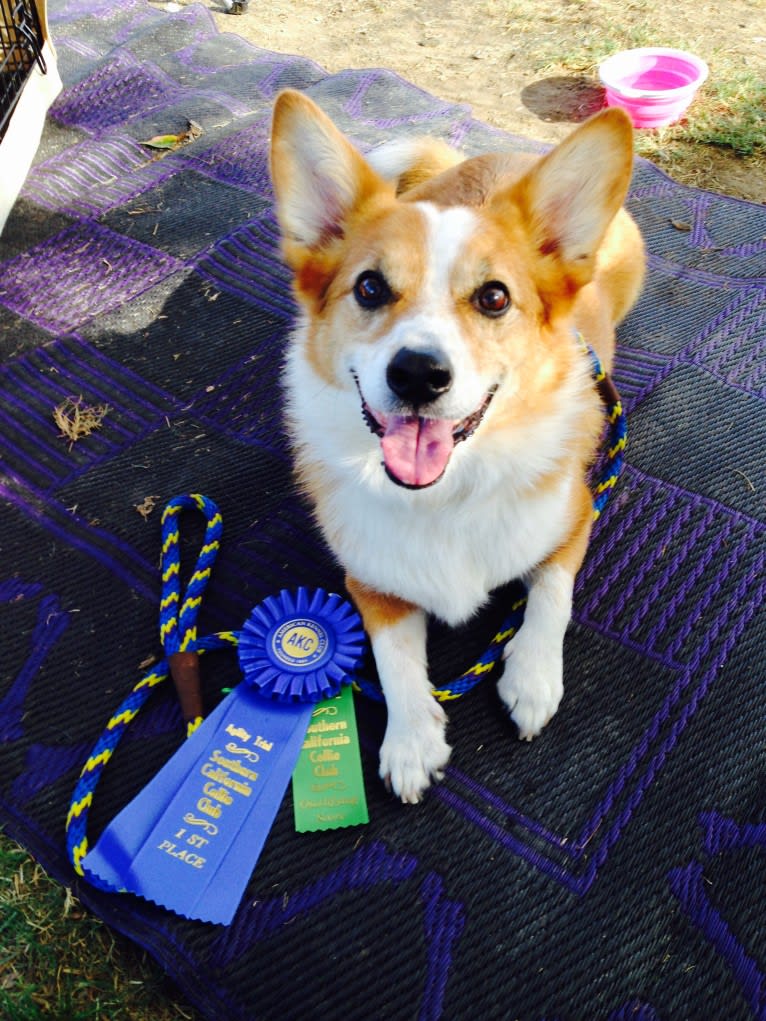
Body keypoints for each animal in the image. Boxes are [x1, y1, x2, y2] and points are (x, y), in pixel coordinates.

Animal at [267, 91, 645, 800]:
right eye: (370, 287)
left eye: (494, 297)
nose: (418, 374)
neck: (445, 495)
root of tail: (500, 155)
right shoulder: (369, 579)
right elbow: (392, 657)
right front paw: (412, 739)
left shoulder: (575, 518)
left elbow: (551, 597)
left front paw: (531, 679)